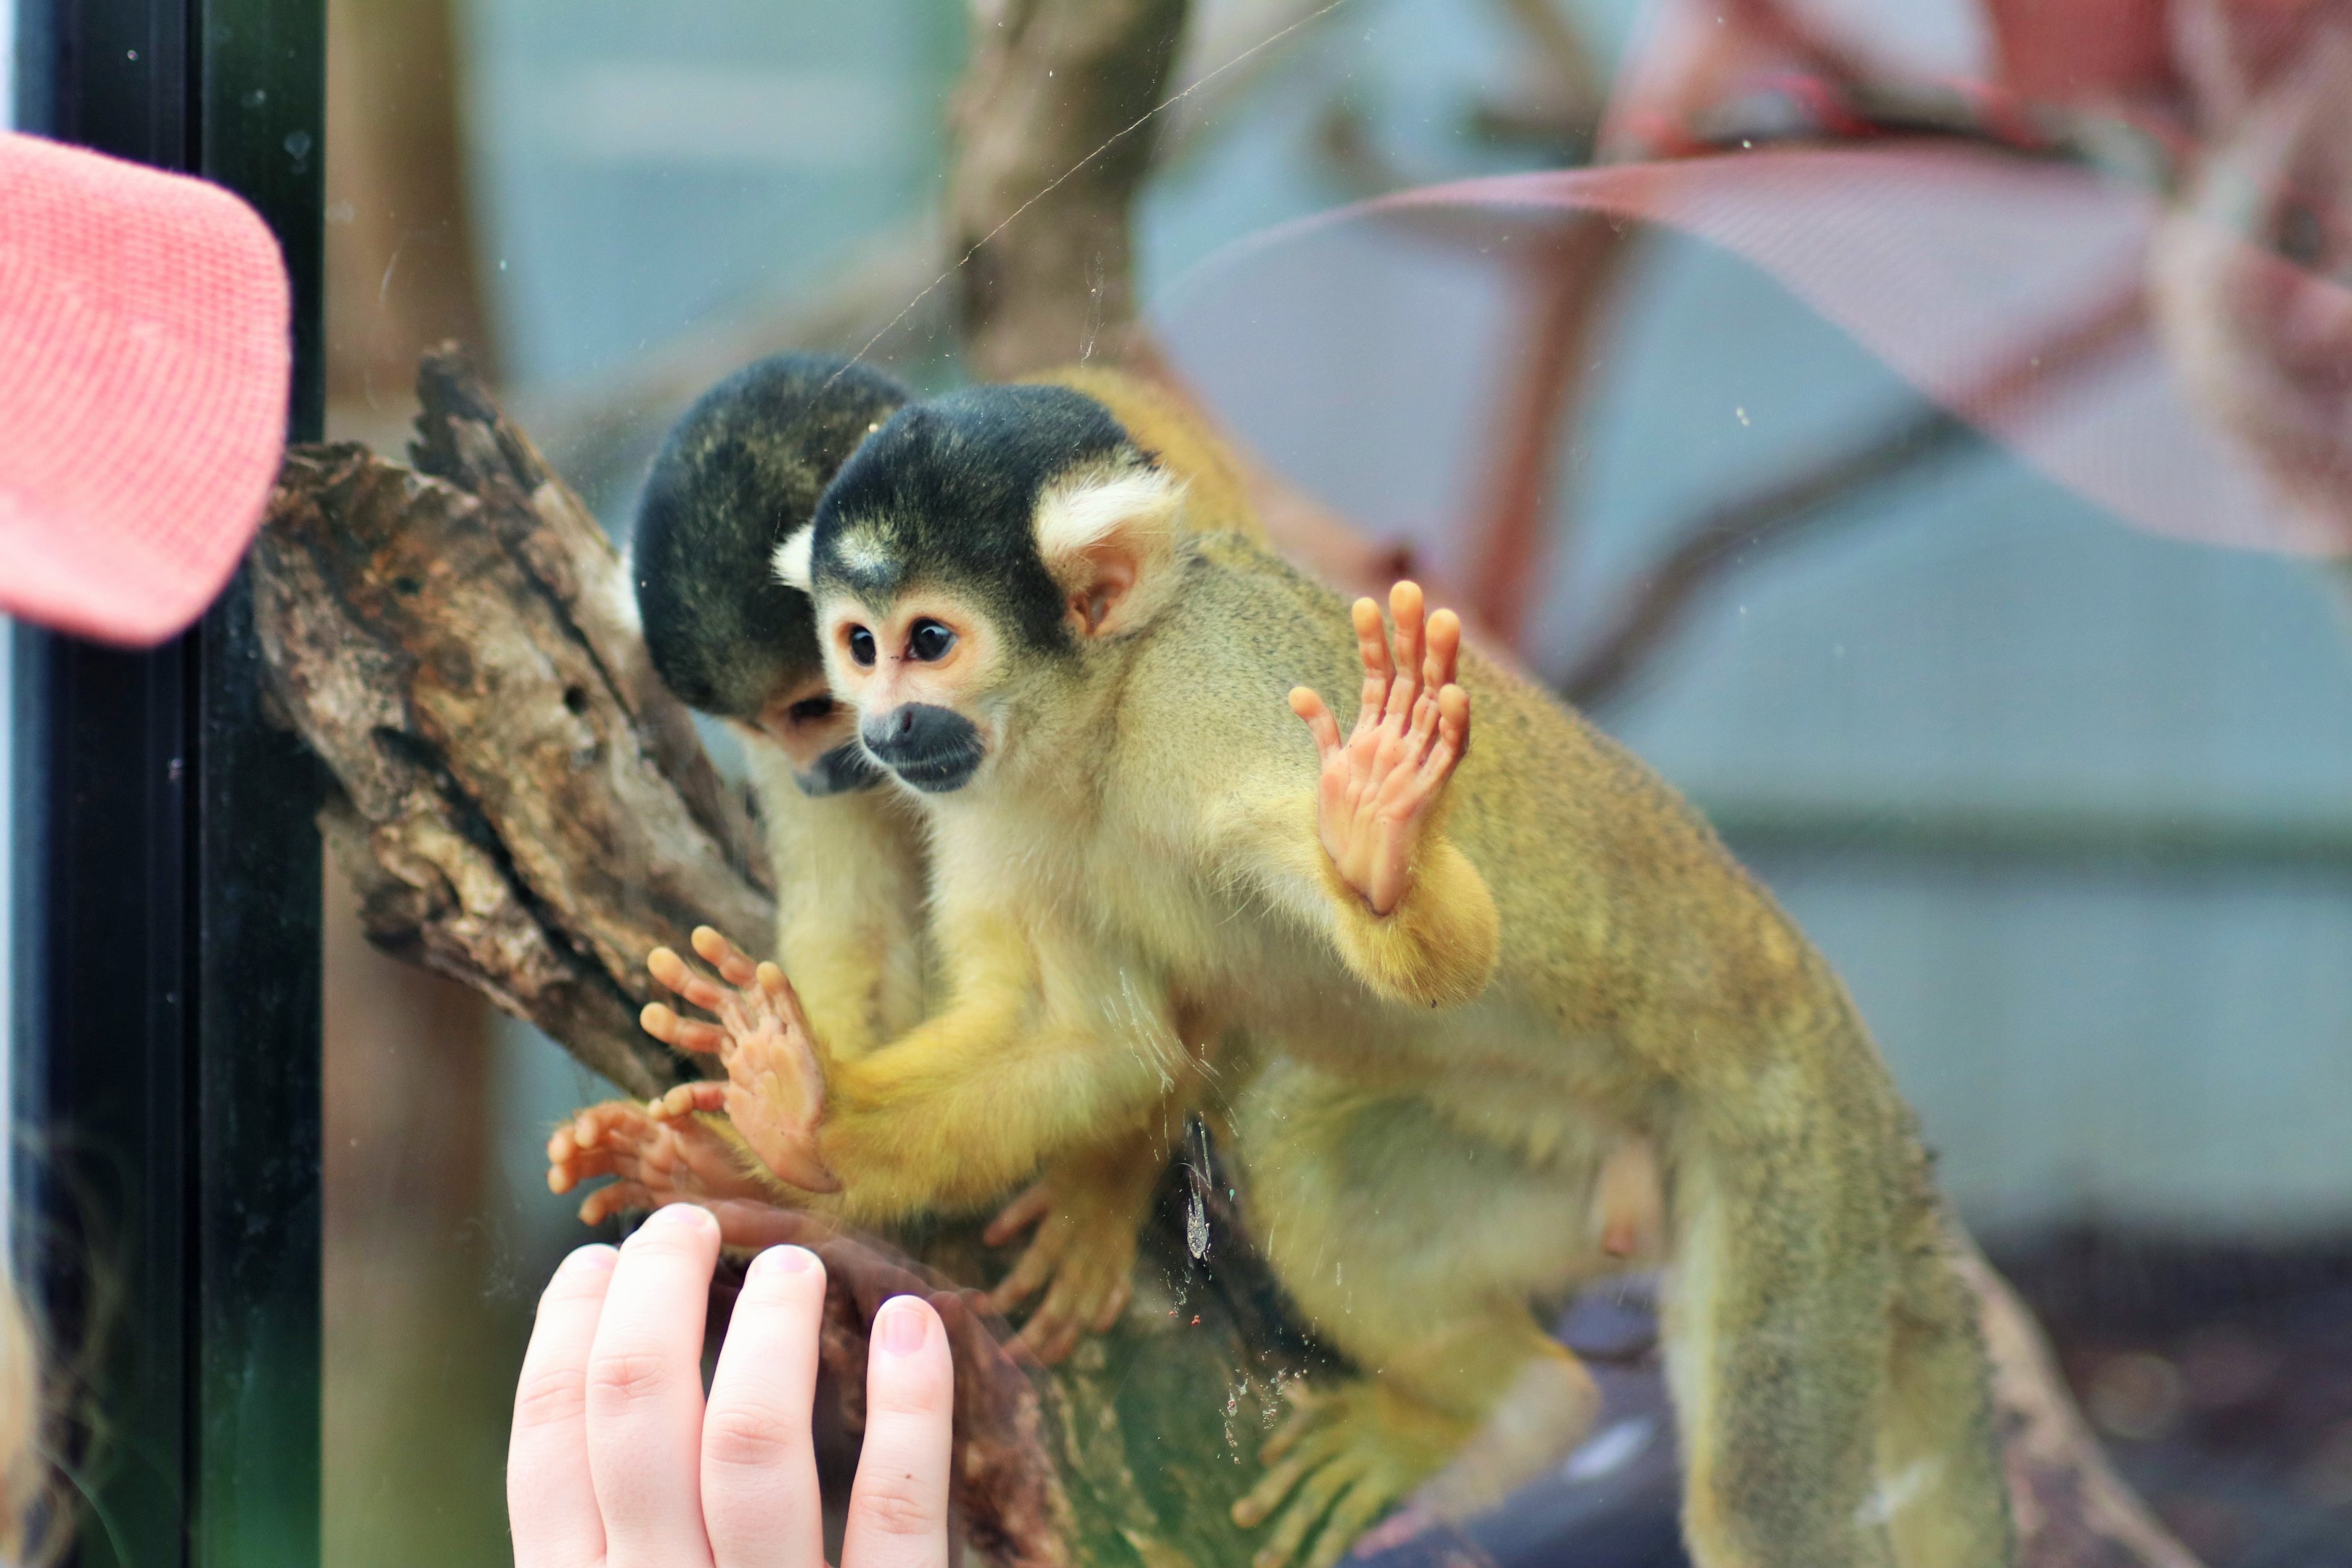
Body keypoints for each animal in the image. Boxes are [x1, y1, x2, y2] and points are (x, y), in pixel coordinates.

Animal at [628, 379, 2011, 1568]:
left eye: (929, 639)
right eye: (858, 648)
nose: (879, 728)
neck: (1104, 715)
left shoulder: (1221, 695)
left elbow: (1428, 950)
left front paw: (1379, 846)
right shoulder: (988, 802)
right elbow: (1092, 1044)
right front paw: (789, 1129)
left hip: (1792, 1149)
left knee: (1766, 1512)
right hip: (1578, 1176)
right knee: (1307, 1161)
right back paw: (1528, 1406)